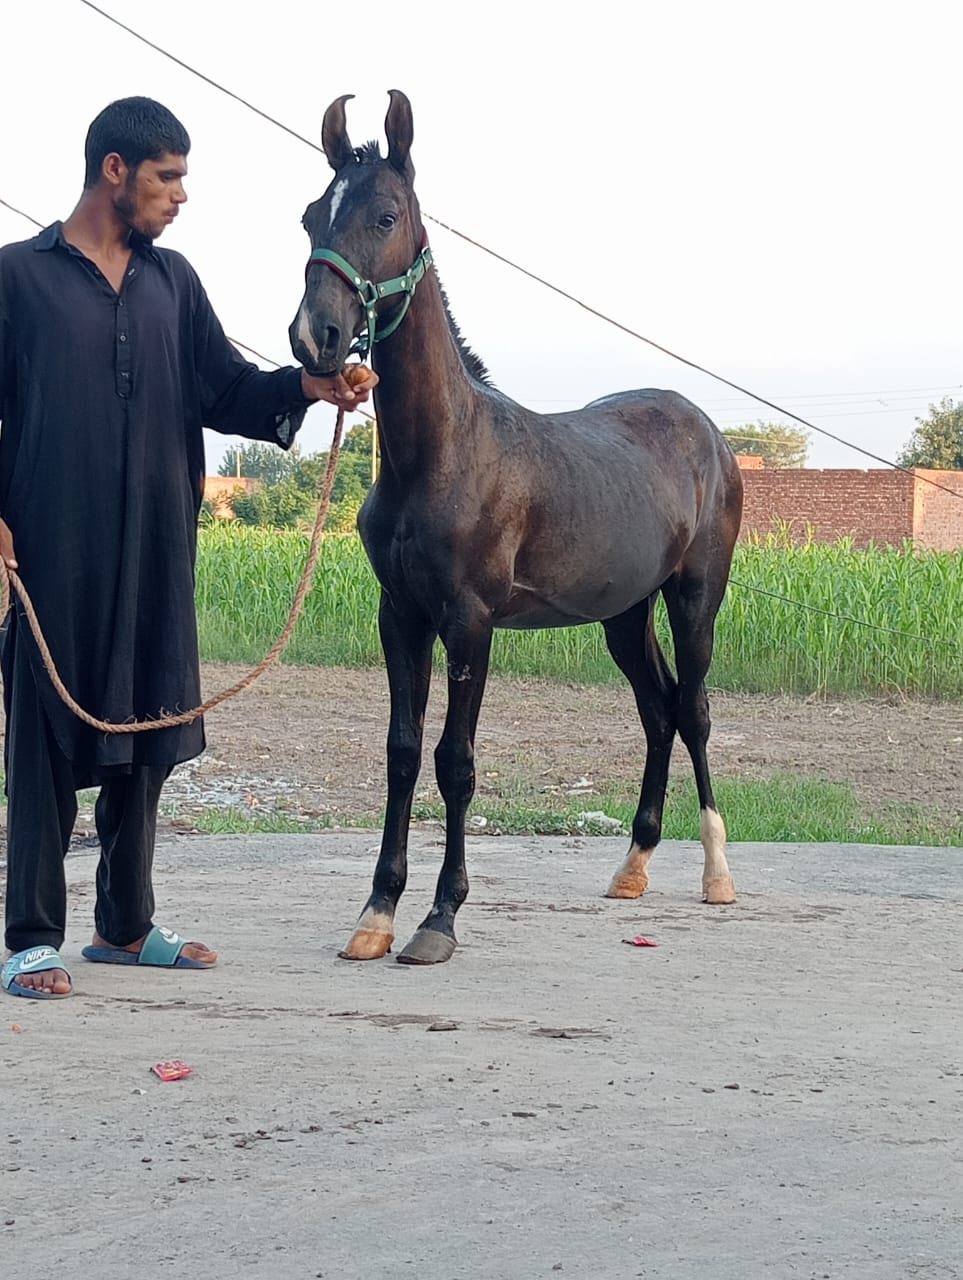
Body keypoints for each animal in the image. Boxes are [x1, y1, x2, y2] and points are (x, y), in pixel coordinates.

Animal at [289, 90, 744, 965]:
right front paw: (376, 913)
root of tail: (703, 427)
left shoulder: (470, 621)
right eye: (308, 216)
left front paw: (438, 919)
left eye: (386, 214)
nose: (314, 338)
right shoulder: (400, 616)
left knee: (695, 709)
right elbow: (402, 754)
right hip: (623, 615)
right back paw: (632, 866)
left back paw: (716, 873)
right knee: (658, 710)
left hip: (694, 597)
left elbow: (455, 762)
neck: (440, 453)